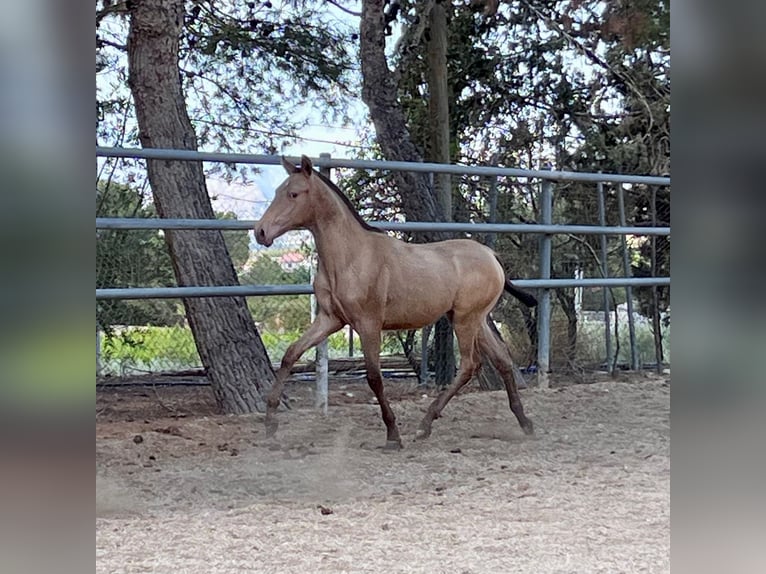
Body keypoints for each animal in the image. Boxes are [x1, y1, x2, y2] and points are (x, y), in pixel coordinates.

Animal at [255, 155, 536, 452]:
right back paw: (524, 422)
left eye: (294, 194)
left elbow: (374, 377)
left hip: (466, 319)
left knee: (471, 365)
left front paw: (393, 435)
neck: (351, 257)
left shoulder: (368, 324)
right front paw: (270, 423)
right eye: (278, 191)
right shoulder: (330, 319)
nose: (260, 232)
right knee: (502, 359)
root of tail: (492, 255)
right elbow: (291, 354)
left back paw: (425, 425)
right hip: (473, 319)